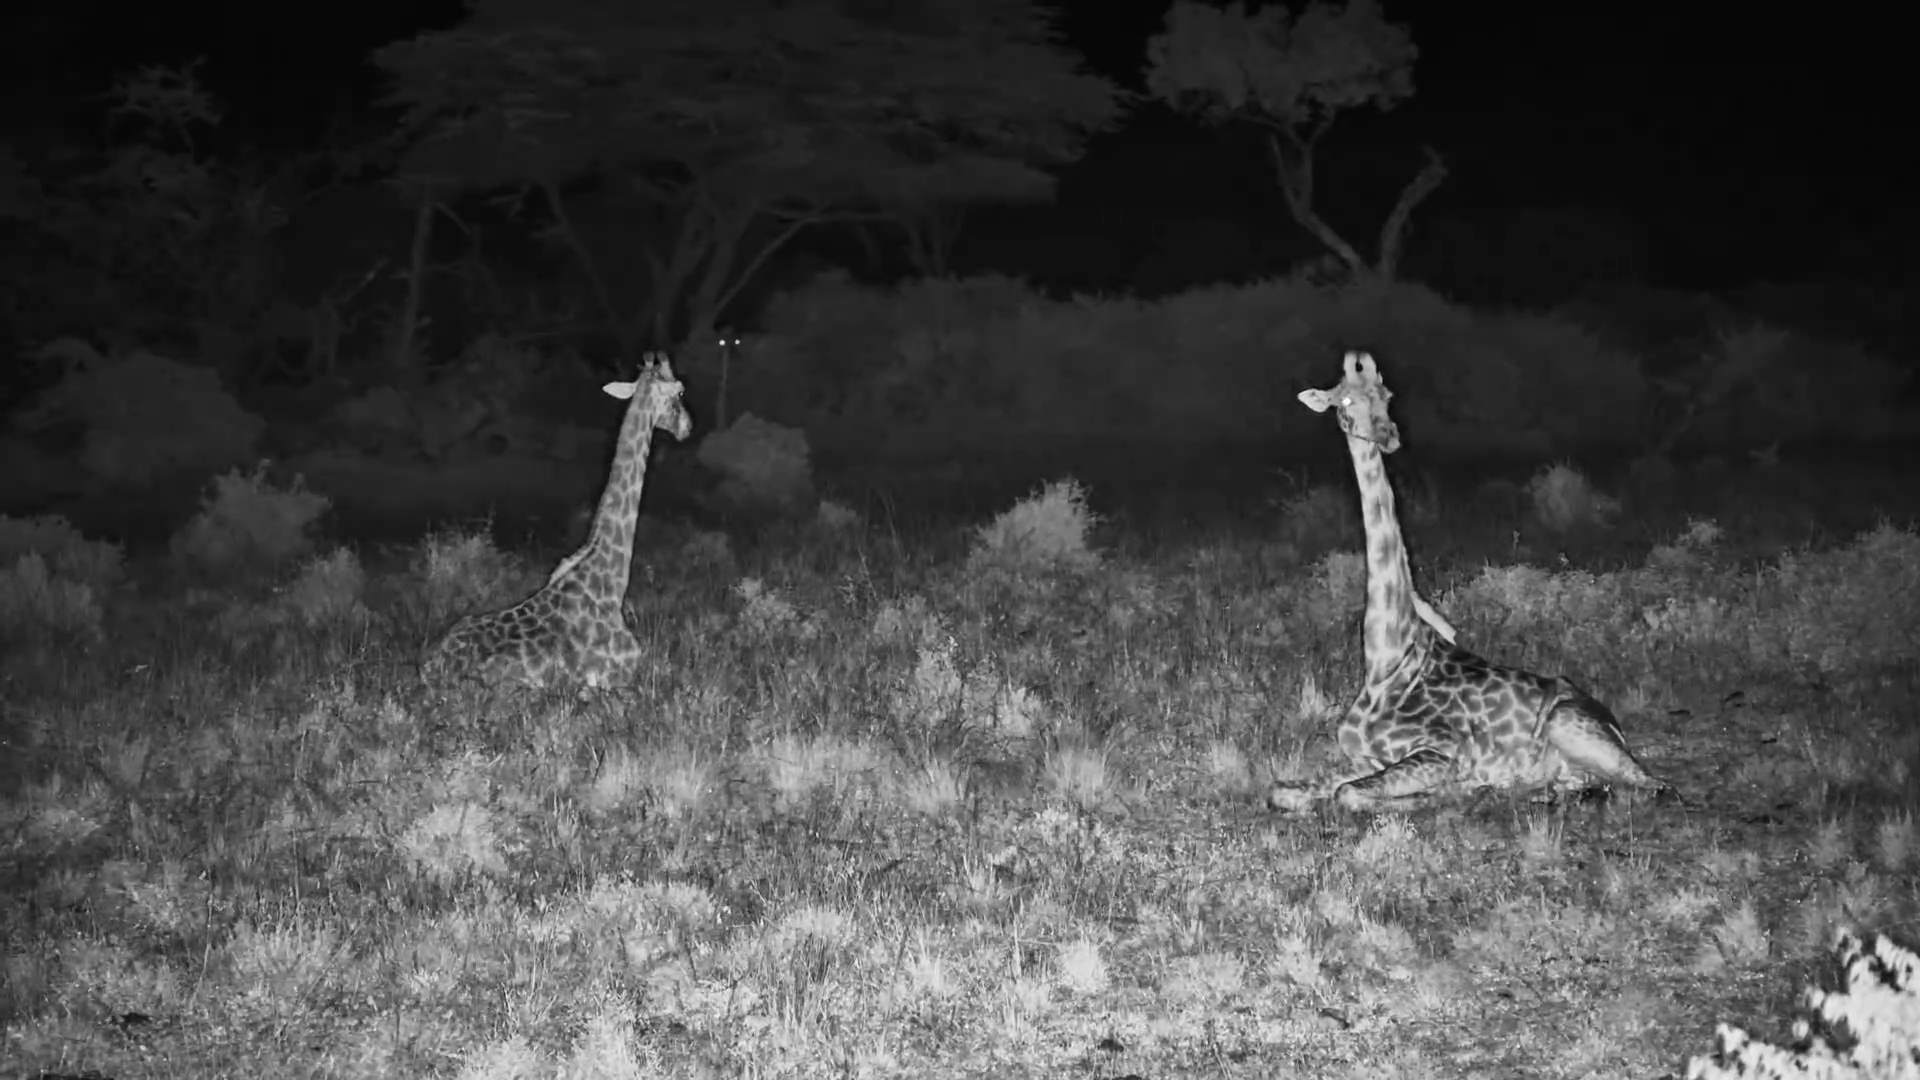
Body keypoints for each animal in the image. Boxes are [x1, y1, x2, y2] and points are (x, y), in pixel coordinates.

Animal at [1267, 350, 1672, 814]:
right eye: (1347, 401)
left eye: (1387, 396)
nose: (1388, 436)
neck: (1386, 659)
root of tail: (1614, 723)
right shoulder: (1363, 757)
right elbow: (1284, 790)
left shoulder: (1443, 752)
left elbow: (1349, 793)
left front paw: (1447, 793)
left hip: (1566, 724)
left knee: (1654, 787)